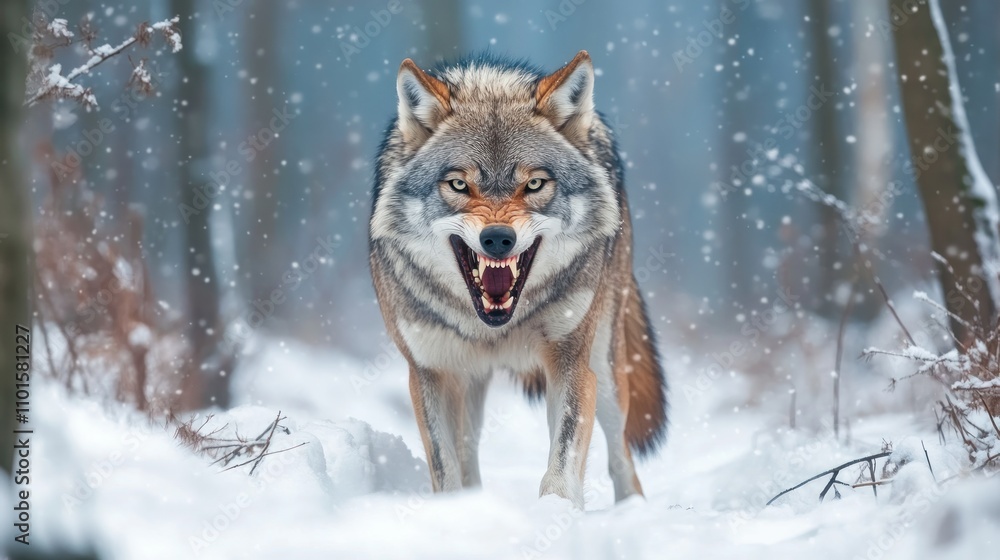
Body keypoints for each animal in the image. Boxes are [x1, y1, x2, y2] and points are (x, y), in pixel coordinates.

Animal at [369, 51, 667, 507]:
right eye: (459, 183)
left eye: (535, 183)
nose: (497, 238)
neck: (495, 326)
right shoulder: (430, 371)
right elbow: (445, 468)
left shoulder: (571, 363)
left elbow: (562, 464)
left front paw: (556, 514)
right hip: (470, 379)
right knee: (468, 448)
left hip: (606, 366)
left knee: (621, 455)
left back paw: (632, 508)